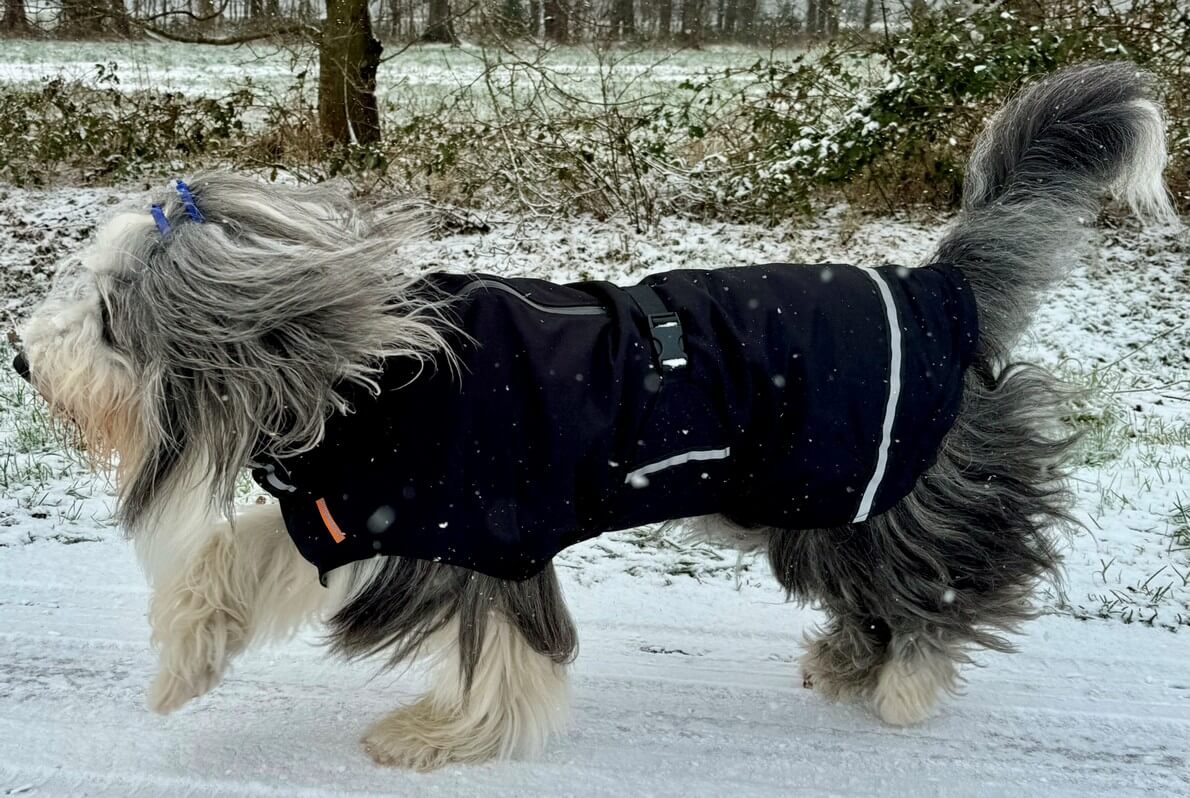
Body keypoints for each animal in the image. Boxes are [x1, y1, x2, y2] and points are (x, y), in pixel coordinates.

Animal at [9, 62, 1175, 765]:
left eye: (109, 317)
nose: (22, 360)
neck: (355, 377)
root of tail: (939, 286)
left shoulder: (479, 532)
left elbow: (507, 651)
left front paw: (441, 737)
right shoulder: (371, 513)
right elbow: (238, 554)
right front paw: (184, 667)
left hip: (869, 486)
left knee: (961, 571)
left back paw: (907, 685)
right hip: (812, 505)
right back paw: (854, 667)